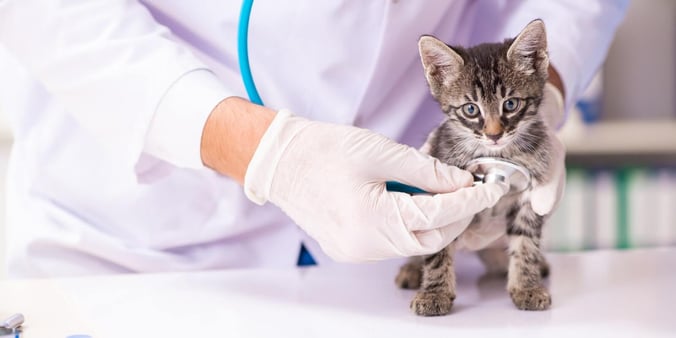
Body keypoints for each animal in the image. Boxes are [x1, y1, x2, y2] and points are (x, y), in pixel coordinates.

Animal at [396, 19, 556, 316]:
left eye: (510, 104)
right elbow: (437, 248)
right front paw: (434, 293)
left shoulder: (532, 195)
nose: (494, 134)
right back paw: (412, 269)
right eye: (471, 109)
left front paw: (526, 286)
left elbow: (526, 241)